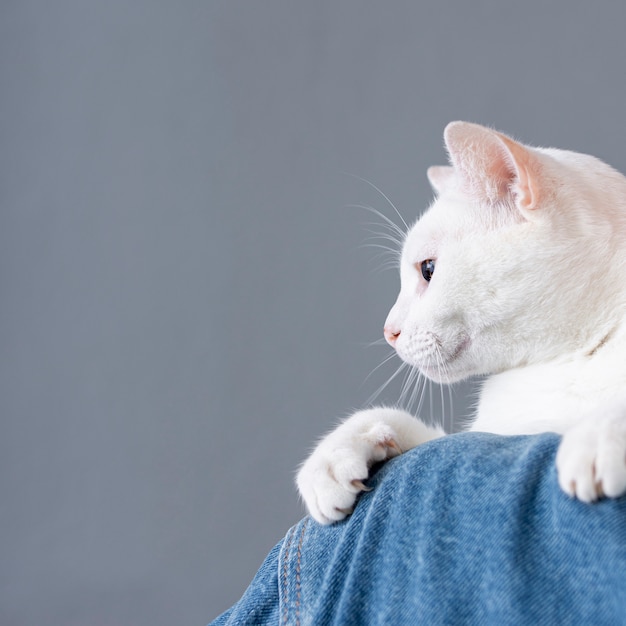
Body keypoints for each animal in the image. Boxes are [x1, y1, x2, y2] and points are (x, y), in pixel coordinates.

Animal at [294, 120, 624, 520]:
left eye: (428, 270)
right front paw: (333, 457)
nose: (388, 332)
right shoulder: (480, 436)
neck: (569, 360)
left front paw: (600, 434)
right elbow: (401, 424)